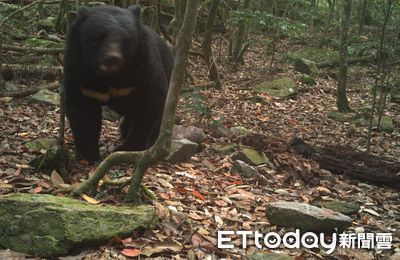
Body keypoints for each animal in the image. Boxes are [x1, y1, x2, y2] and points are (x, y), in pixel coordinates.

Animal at [64, 5, 173, 164]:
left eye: (126, 40)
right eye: (98, 37)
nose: (112, 58)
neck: (111, 77)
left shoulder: (144, 70)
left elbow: (150, 102)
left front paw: (126, 149)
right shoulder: (80, 76)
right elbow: (83, 112)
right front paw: (89, 155)